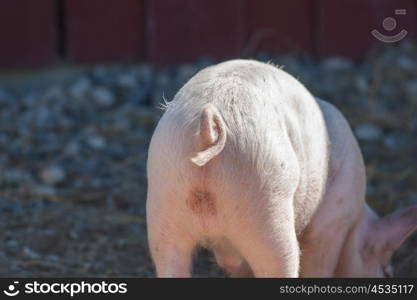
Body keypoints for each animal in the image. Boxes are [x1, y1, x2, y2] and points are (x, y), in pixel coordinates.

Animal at [145, 58, 416, 276]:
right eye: (387, 272)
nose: (390, 273)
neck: (356, 221)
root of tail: (208, 128)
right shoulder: (333, 220)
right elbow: (320, 264)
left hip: (164, 204)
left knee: (169, 261)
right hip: (266, 203)